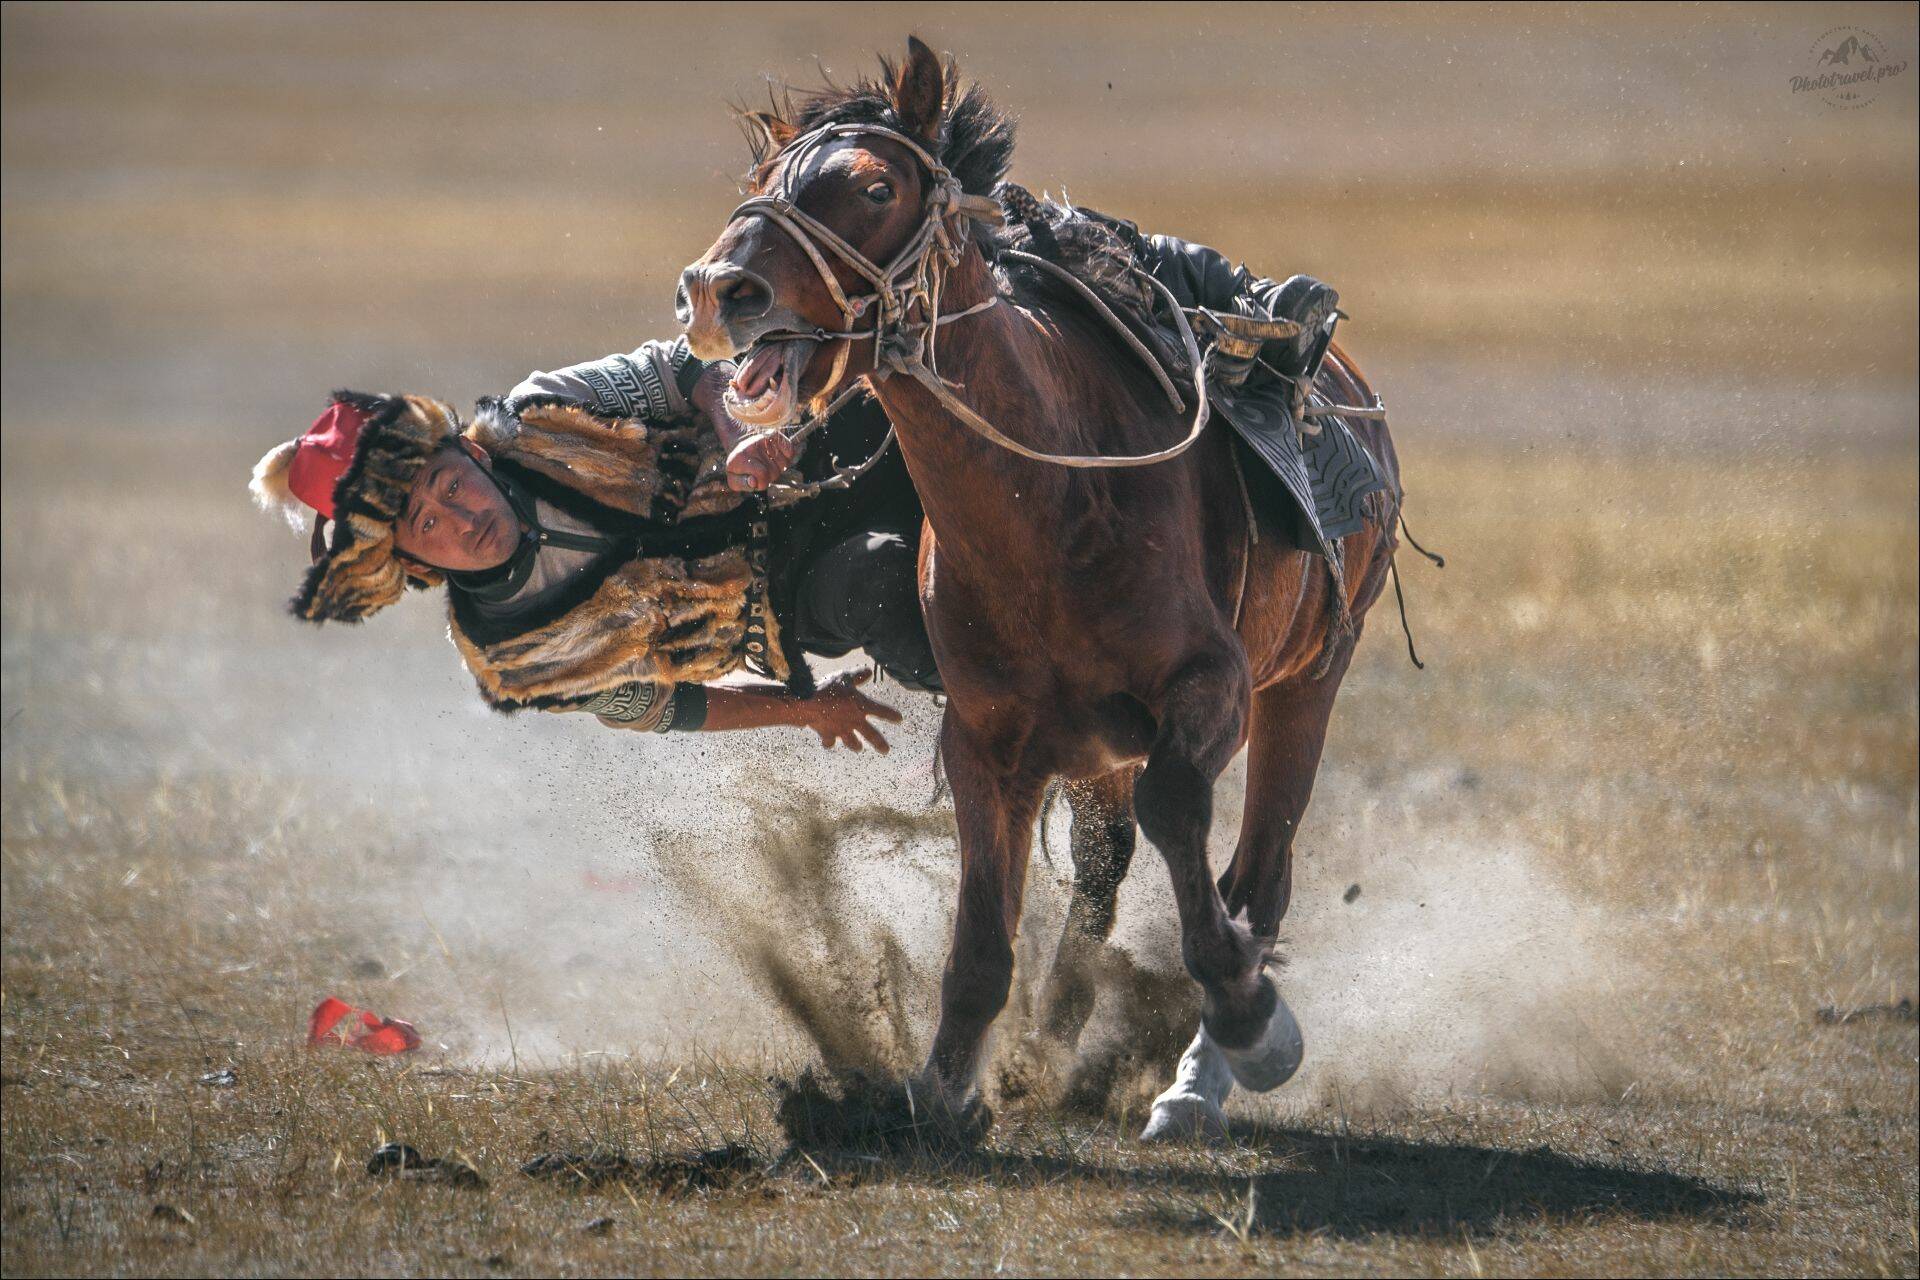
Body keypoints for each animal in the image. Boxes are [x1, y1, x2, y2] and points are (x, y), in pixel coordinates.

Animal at [683, 40, 1405, 1143]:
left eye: (875, 187)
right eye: (760, 182)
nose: (719, 289)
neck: (1055, 502)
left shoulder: (1211, 689)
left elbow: (1181, 812)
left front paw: (1251, 1021)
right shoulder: (987, 738)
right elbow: (986, 925)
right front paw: (946, 1086)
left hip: (1308, 679)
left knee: (1257, 875)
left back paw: (1198, 1075)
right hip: (1099, 739)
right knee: (1106, 873)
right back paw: (1059, 1036)